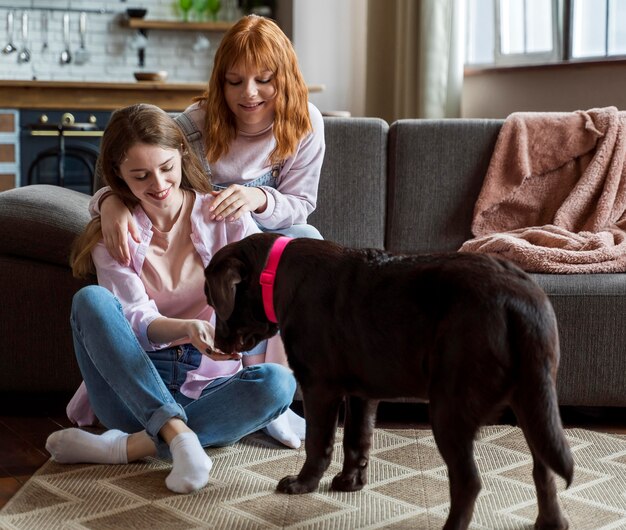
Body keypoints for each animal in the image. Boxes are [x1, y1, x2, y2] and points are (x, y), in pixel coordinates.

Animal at [204, 232, 572, 528]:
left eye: (213, 300)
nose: (216, 343)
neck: (275, 272)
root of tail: (520, 299)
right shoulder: (362, 392)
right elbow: (357, 439)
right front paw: (350, 482)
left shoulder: (319, 386)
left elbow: (319, 443)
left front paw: (302, 484)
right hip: (534, 401)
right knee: (544, 469)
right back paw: (552, 523)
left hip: (449, 407)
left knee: (469, 482)